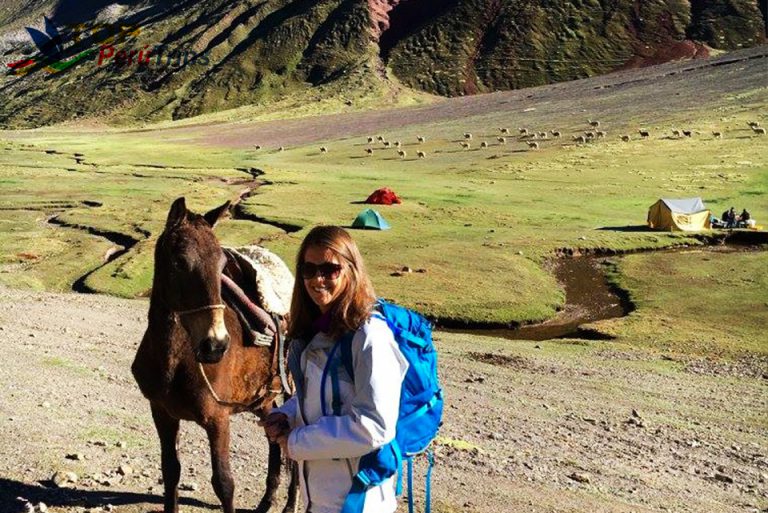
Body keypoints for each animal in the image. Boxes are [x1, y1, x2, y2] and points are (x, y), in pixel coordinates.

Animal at [132, 197, 296, 512]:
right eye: (179, 261)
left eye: (221, 264)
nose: (216, 344)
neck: (175, 359)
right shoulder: (161, 412)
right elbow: (170, 472)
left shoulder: (218, 420)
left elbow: (224, 483)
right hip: (262, 398)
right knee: (274, 436)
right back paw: (266, 501)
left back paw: (290, 503)